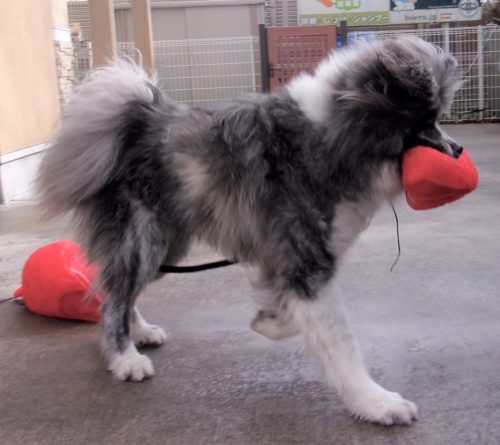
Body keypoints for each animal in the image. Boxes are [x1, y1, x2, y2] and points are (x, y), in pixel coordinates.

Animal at [37, 36, 462, 425]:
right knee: (112, 301)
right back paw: (126, 359)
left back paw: (140, 332)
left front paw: (267, 321)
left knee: (120, 292)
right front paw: (377, 403)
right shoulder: (306, 263)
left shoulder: (289, 264)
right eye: (425, 123)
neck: (332, 136)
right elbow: (342, 344)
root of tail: (133, 120)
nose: (458, 151)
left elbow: (291, 315)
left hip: (166, 247)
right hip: (145, 240)